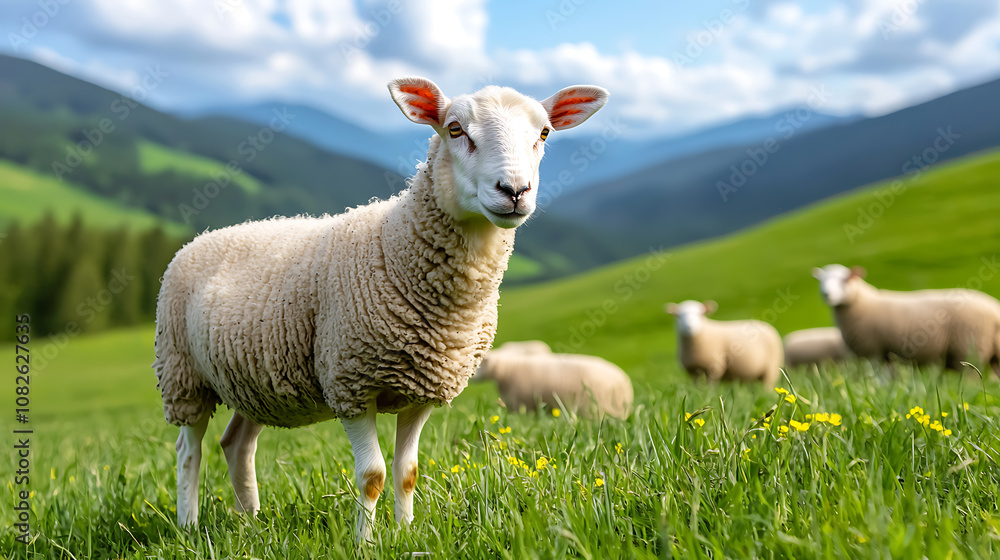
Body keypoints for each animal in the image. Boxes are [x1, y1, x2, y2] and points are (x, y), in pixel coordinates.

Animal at [152, 77, 608, 541]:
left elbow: (408, 472)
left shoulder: (423, 388)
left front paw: (406, 533)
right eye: (455, 129)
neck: (396, 246)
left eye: (544, 134)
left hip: (255, 382)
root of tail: (202, 237)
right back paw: (188, 525)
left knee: (237, 444)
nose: (514, 191)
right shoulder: (350, 383)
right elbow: (372, 475)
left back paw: (252, 521)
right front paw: (364, 541)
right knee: (188, 450)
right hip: (183, 375)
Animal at [813, 264, 1000, 372]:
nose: (826, 294)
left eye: (844, 280)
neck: (862, 302)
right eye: (821, 280)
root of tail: (995, 309)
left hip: (970, 349)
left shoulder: (874, 352)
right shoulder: (885, 355)